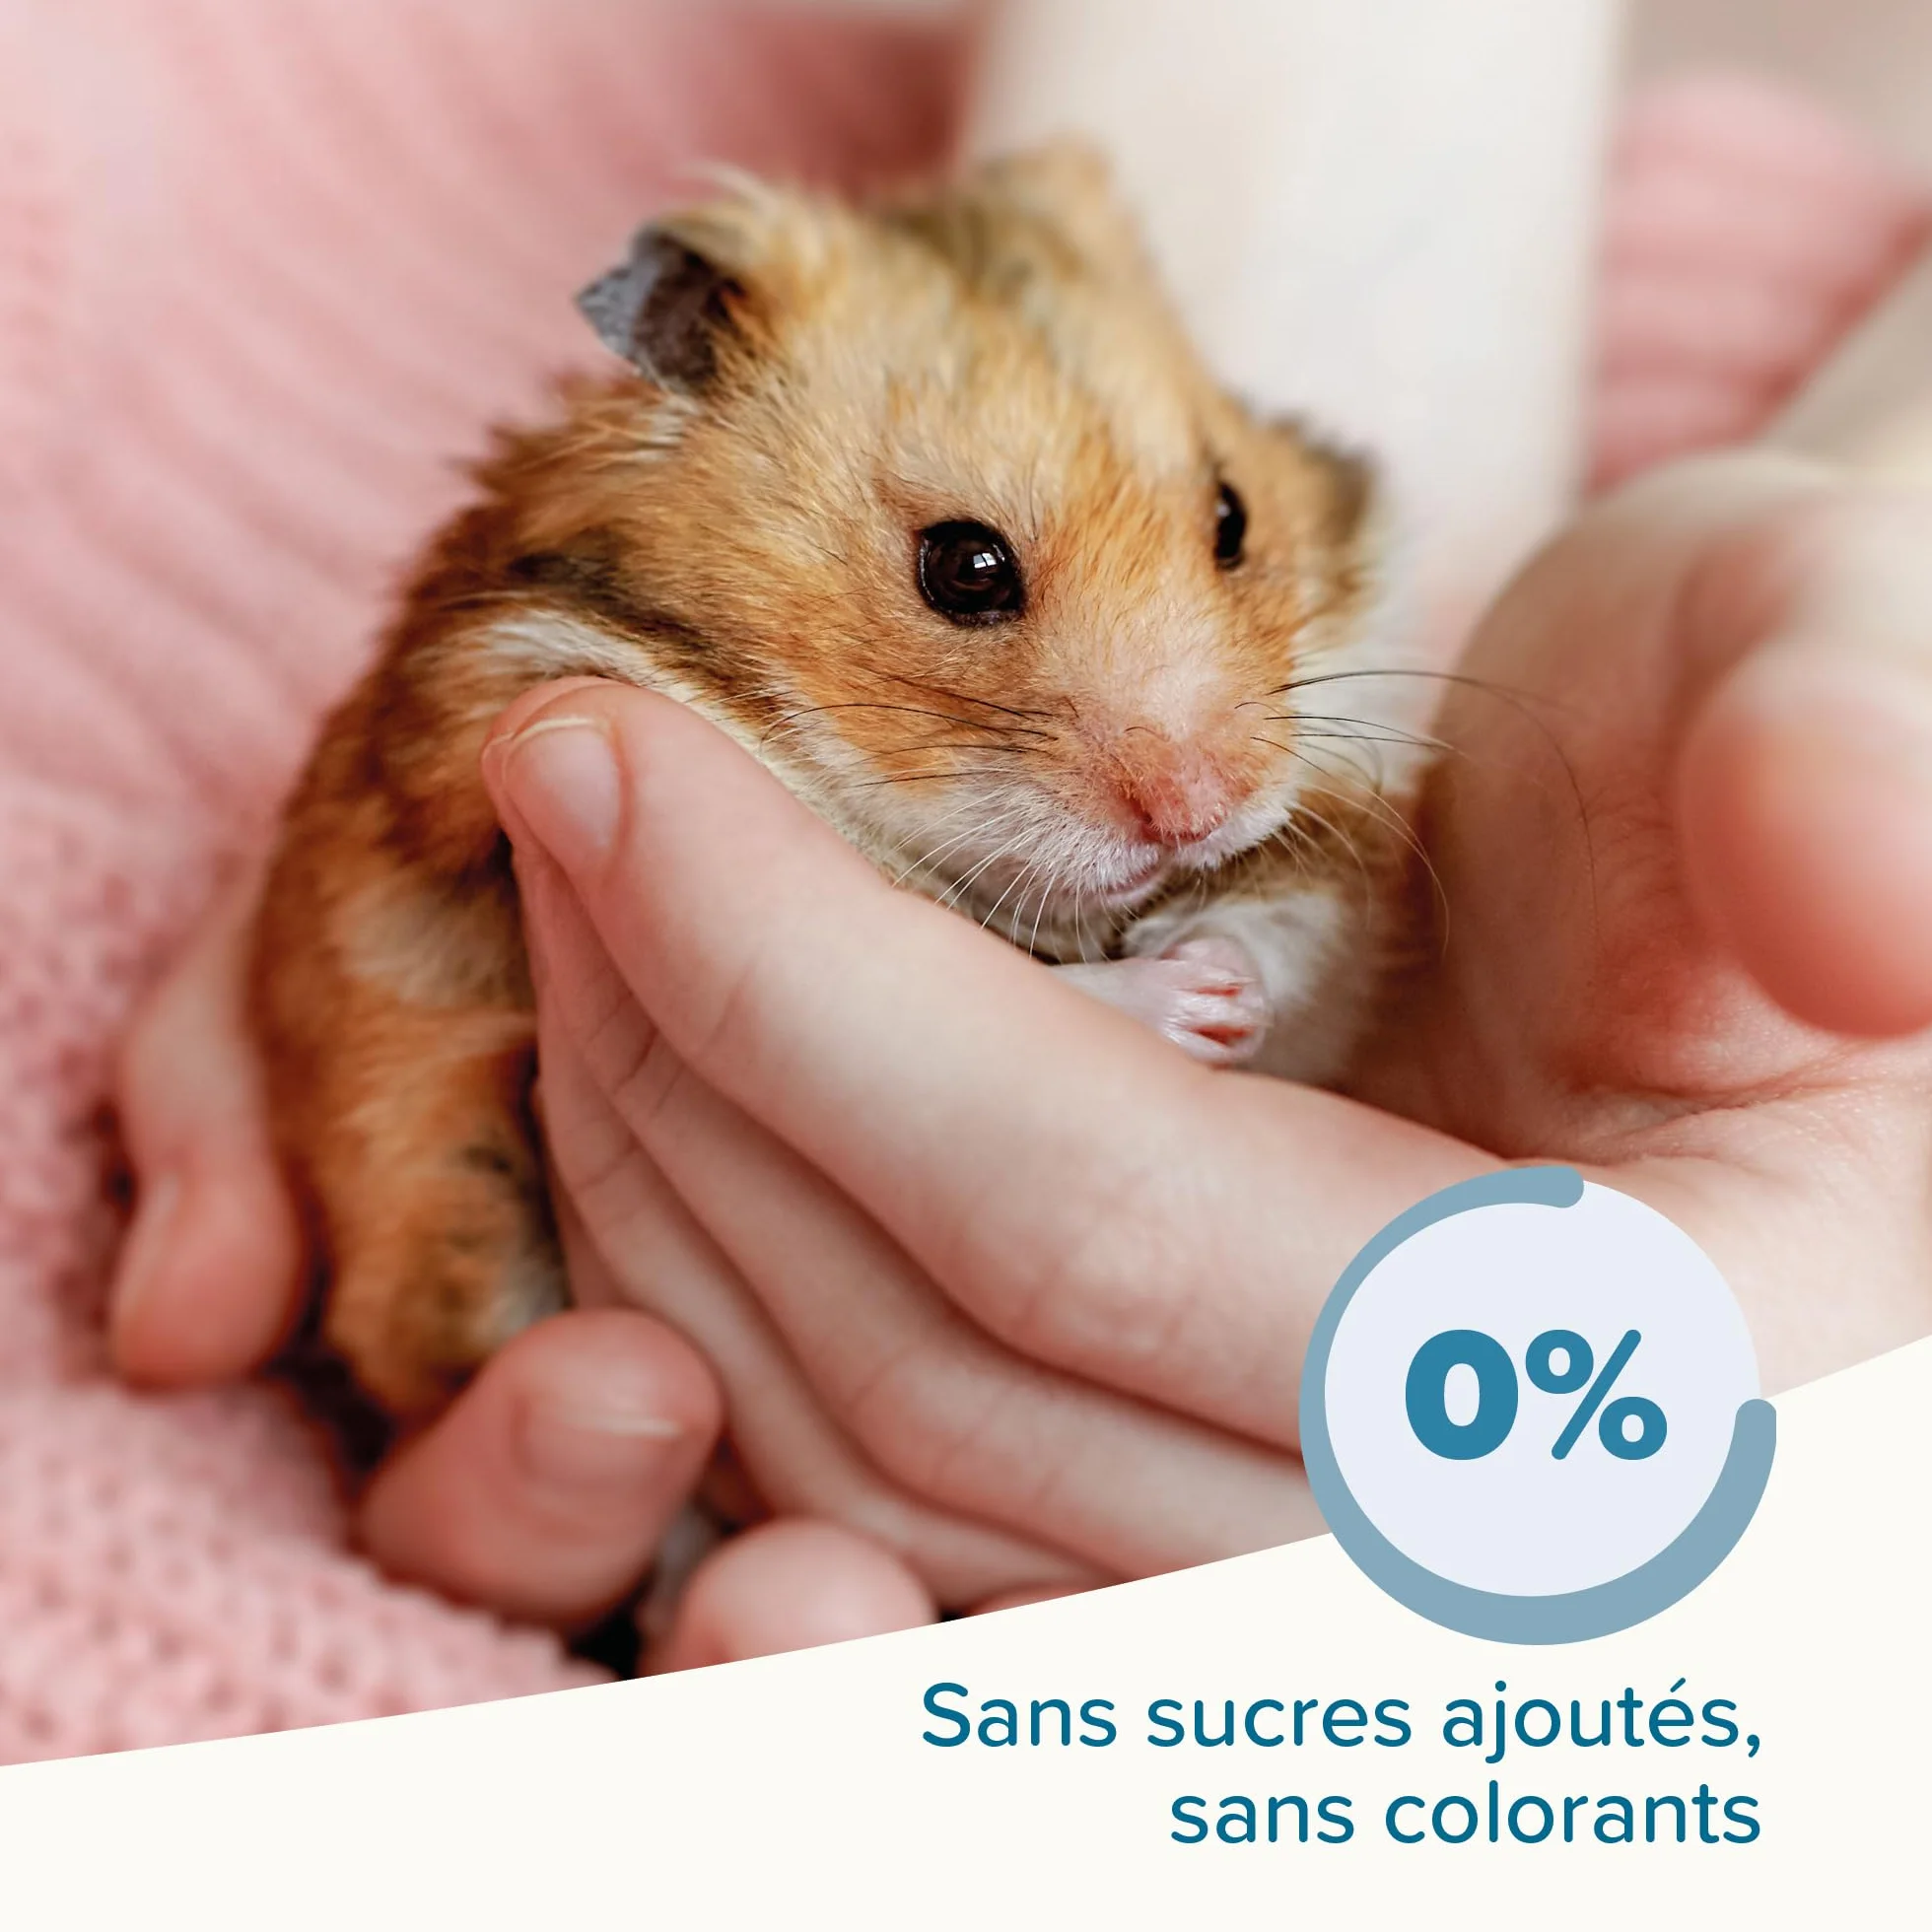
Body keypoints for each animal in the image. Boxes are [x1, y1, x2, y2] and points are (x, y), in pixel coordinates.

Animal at [249, 143, 1430, 1420]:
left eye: (1231, 517)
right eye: (964, 567)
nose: (1197, 813)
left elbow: (1296, 917)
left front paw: (1226, 979)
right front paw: (1197, 1001)